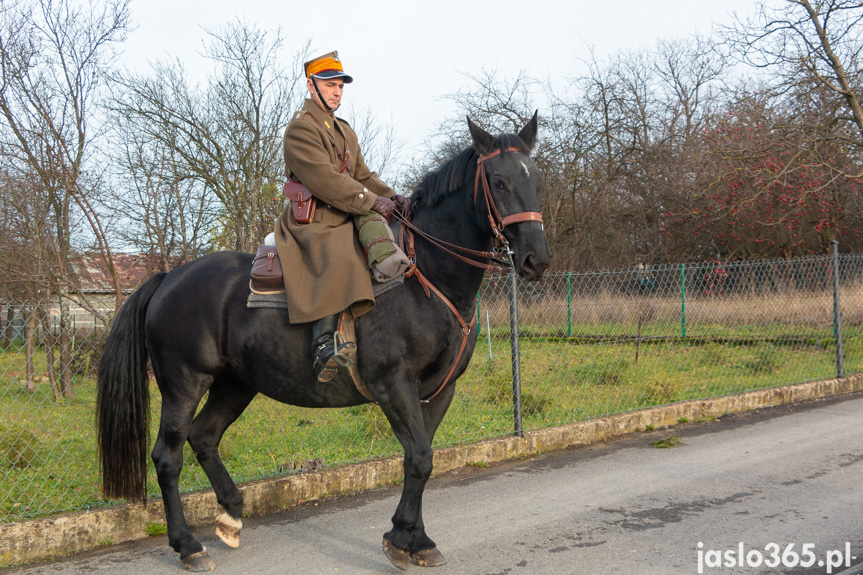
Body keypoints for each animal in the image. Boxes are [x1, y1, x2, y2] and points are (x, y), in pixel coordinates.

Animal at [98, 115, 552, 572]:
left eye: (536, 179)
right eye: (498, 181)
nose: (537, 259)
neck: (426, 275)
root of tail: (168, 278)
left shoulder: (439, 390)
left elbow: (422, 460)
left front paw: (418, 540)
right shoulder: (394, 385)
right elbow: (420, 458)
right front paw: (399, 537)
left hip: (235, 385)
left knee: (204, 438)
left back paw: (230, 514)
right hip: (185, 384)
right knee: (168, 456)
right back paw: (188, 544)